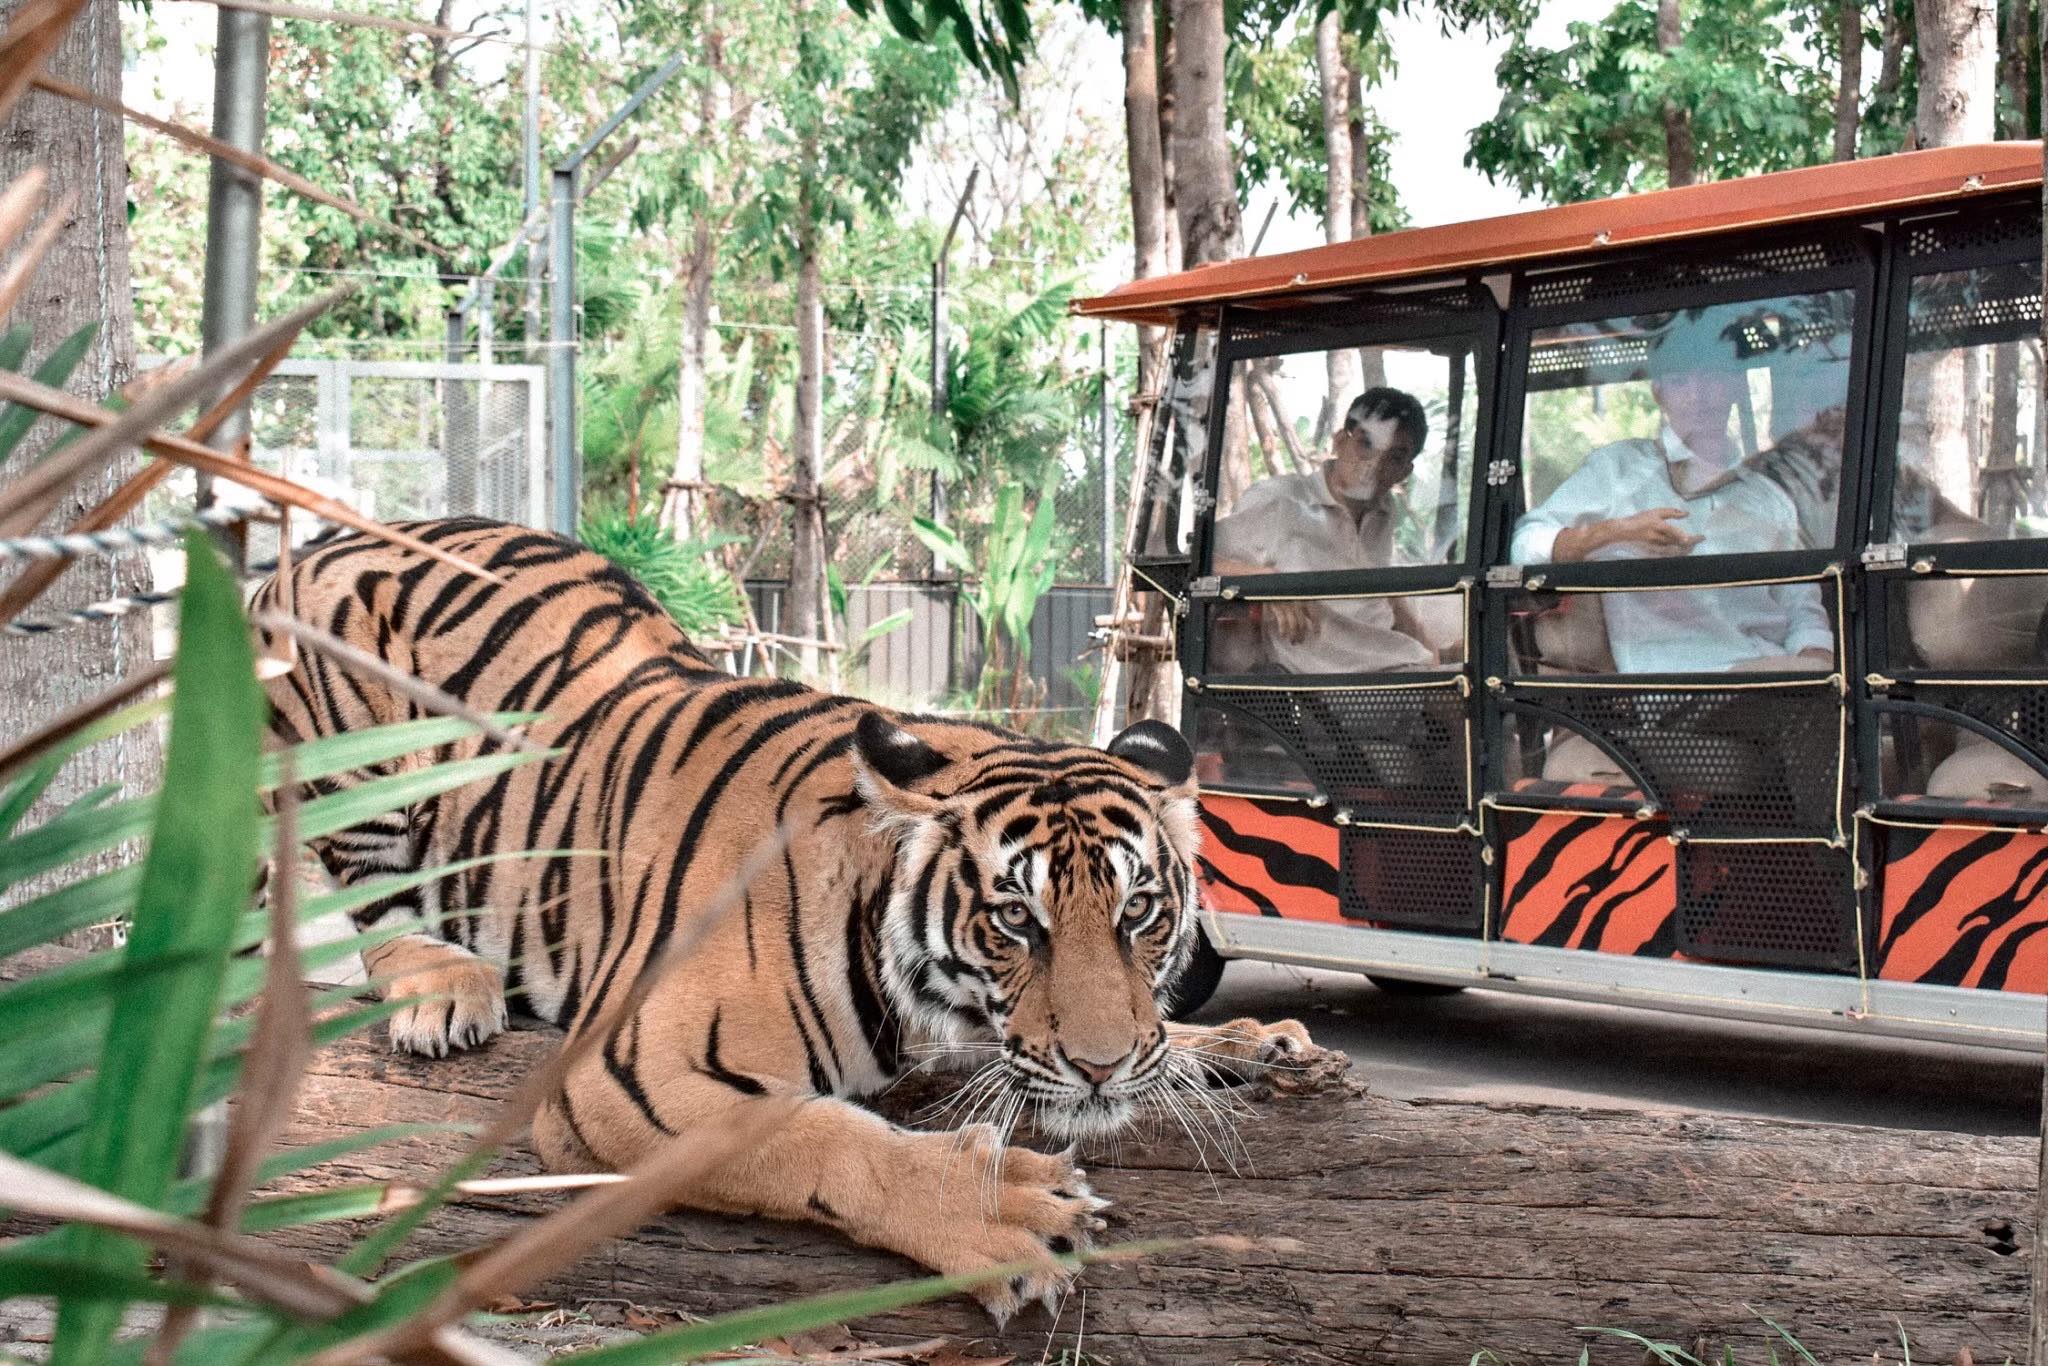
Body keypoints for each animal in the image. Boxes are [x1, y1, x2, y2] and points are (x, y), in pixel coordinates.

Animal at [253, 517, 1319, 1319]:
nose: (1101, 1069)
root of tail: (324, 540)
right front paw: (1005, 1210)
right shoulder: (629, 1073)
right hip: (353, 758)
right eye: (1016, 919)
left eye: (1139, 910)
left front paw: (1245, 1041)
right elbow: (824, 1139)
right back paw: (444, 985)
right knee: (372, 907)